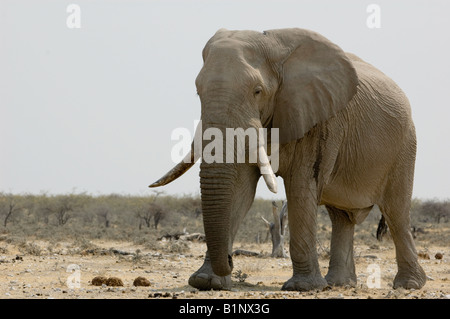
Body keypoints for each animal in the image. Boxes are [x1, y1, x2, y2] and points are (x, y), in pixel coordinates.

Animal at [149, 28, 428, 292]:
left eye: (257, 91)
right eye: (198, 92)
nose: (230, 260)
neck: (276, 49)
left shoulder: (320, 119)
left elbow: (300, 188)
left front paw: (303, 287)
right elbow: (240, 190)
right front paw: (207, 282)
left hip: (405, 145)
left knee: (396, 214)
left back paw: (409, 285)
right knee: (341, 218)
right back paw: (339, 284)